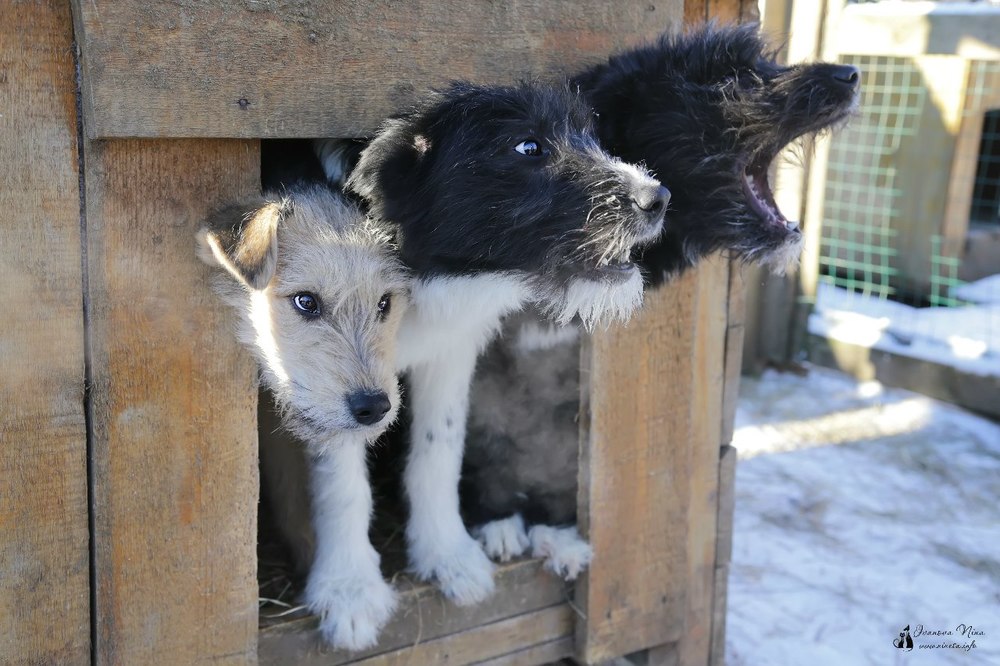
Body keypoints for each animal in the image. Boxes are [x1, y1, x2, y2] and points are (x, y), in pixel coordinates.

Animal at [460, 24, 860, 576]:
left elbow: (567, 455)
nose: (850, 75)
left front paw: (558, 531)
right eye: (728, 76)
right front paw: (495, 519)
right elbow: (486, 437)